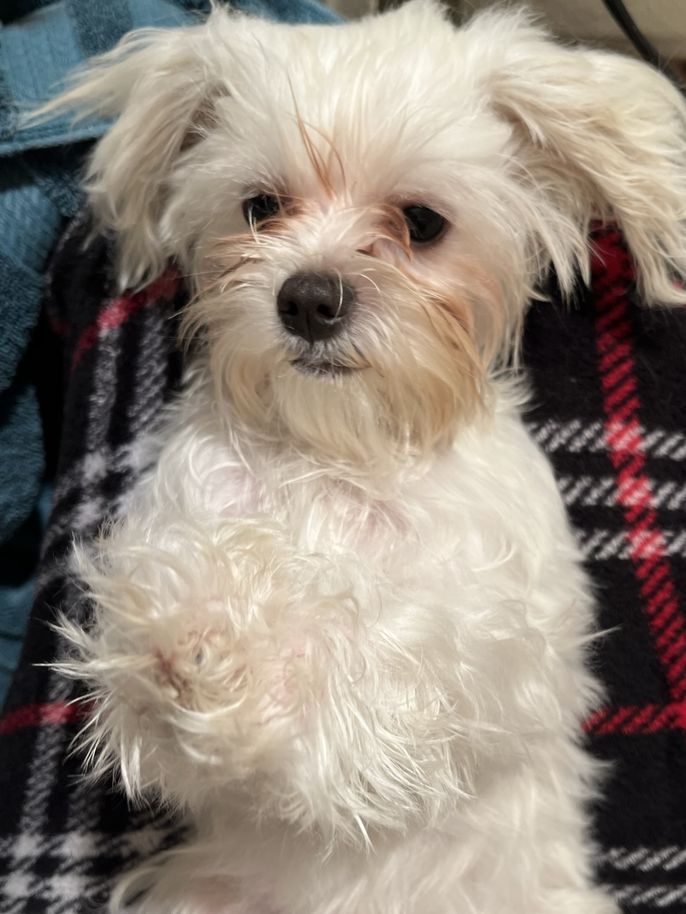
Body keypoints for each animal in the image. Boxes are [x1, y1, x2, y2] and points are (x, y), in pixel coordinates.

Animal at [44, 1, 686, 911]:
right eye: (260, 207)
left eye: (421, 223)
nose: (308, 297)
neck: (342, 450)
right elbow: (166, 697)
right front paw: (201, 641)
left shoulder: (504, 648)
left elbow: (393, 643)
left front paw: (267, 649)